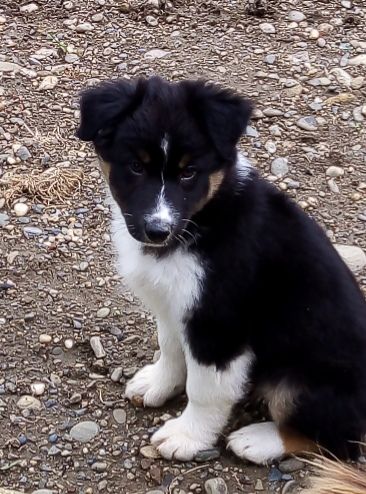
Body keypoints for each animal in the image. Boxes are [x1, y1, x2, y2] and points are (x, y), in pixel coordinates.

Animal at [76, 75, 366, 466]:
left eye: (188, 172)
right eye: (136, 167)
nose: (157, 230)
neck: (202, 220)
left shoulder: (217, 326)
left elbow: (205, 389)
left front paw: (187, 436)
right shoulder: (174, 306)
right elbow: (170, 347)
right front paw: (159, 384)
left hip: (303, 383)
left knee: (335, 439)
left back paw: (257, 441)